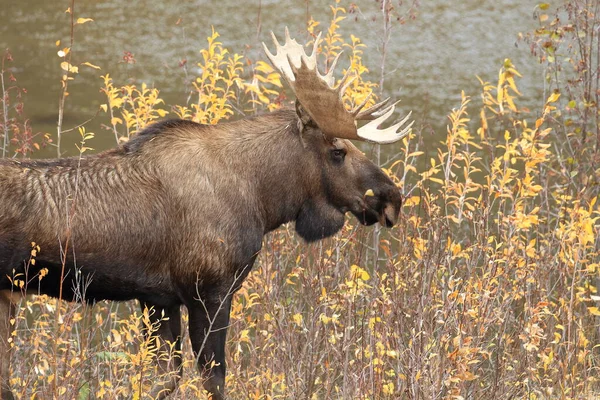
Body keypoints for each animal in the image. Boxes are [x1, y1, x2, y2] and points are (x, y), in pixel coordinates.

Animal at [0, 29, 412, 398]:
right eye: (338, 151)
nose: (392, 197)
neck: (262, 199)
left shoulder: (158, 299)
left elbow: (164, 378)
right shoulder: (209, 290)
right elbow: (213, 378)